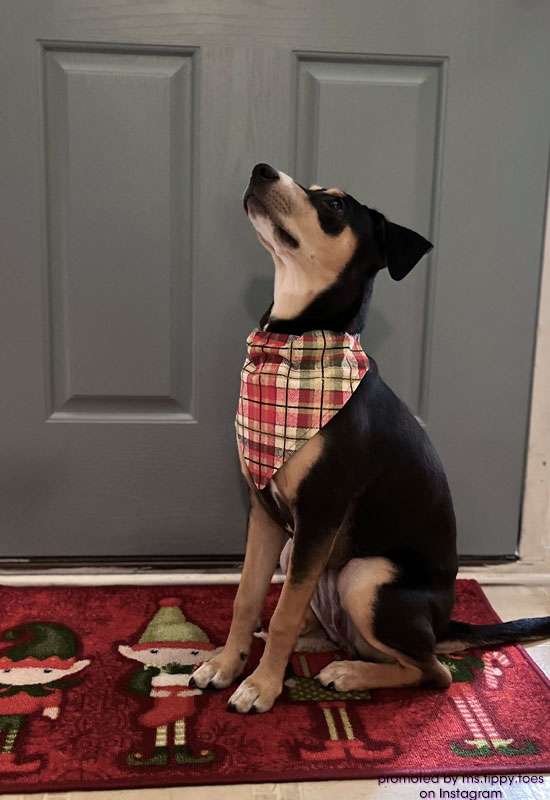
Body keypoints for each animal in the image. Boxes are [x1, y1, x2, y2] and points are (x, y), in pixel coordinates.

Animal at [193, 162, 550, 712]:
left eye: (336, 205)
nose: (261, 170)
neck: (295, 341)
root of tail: (443, 625)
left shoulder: (320, 512)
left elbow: (283, 611)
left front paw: (261, 686)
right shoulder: (265, 512)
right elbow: (247, 597)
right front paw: (227, 665)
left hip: (366, 576)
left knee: (432, 672)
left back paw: (348, 673)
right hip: (302, 556)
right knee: (335, 628)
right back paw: (316, 646)